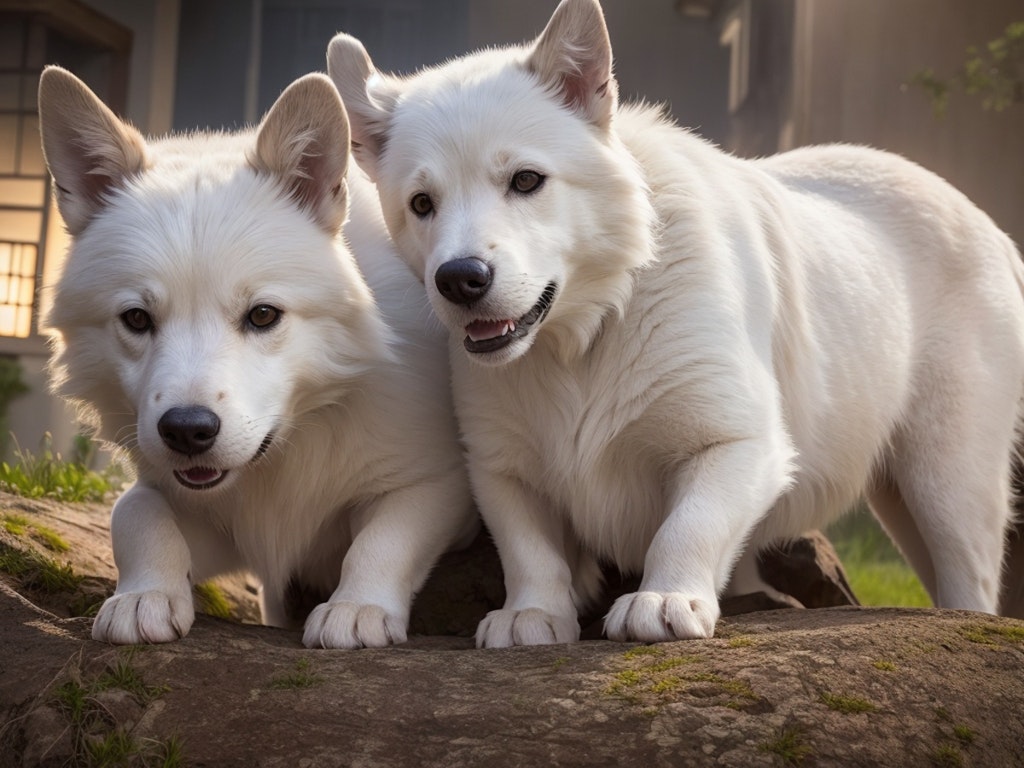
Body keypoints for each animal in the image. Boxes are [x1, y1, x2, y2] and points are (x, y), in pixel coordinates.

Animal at [37, 66, 475, 651]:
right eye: (136, 319)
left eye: (263, 315)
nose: (187, 431)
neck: (292, 443)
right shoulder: (205, 512)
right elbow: (134, 513)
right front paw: (144, 595)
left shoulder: (438, 486)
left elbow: (382, 541)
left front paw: (356, 607)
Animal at [325, 0, 1024, 651]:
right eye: (422, 204)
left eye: (526, 180)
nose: (460, 279)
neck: (588, 335)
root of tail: (989, 225)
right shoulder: (500, 464)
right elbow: (529, 547)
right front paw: (533, 614)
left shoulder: (739, 443)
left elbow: (688, 525)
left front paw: (663, 599)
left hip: (948, 475)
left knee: (968, 578)